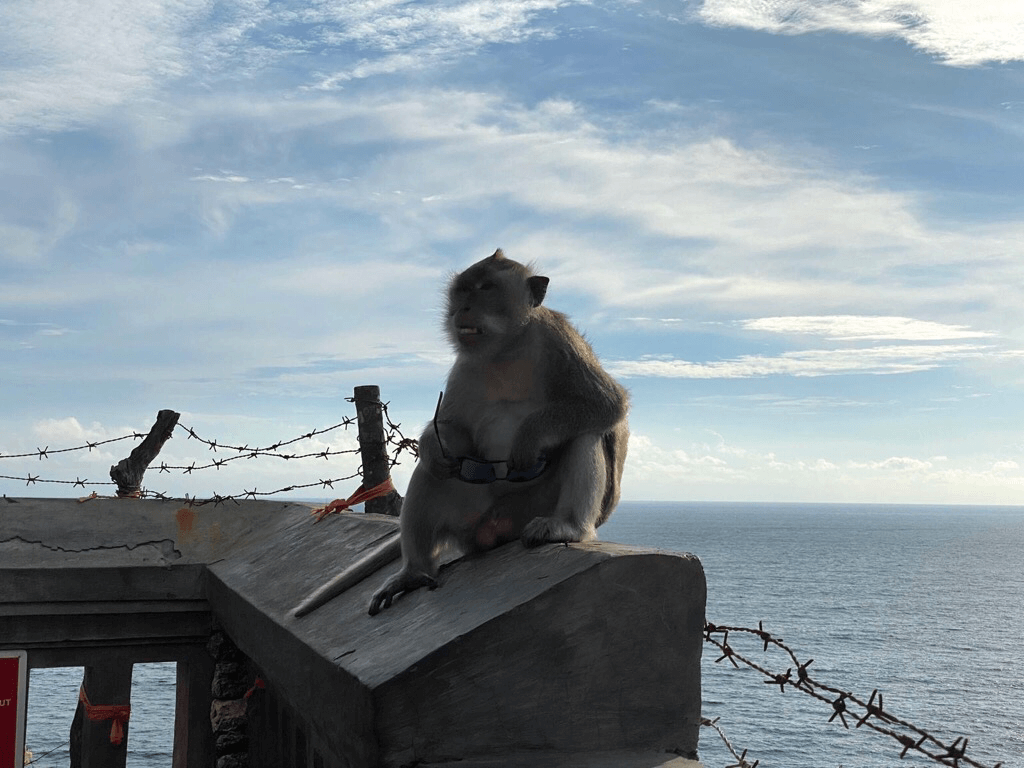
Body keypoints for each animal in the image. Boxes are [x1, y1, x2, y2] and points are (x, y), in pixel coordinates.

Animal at [366, 248, 629, 615]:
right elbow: (452, 428)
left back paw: (566, 527)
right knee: (435, 469)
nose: (462, 308)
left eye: (486, 288)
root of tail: (493, 529)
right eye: (462, 290)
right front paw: (433, 442)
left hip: (527, 510)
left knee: (583, 435)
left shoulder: (557, 340)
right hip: (470, 515)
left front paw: (529, 437)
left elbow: (604, 404)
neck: (507, 348)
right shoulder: (464, 365)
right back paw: (413, 572)